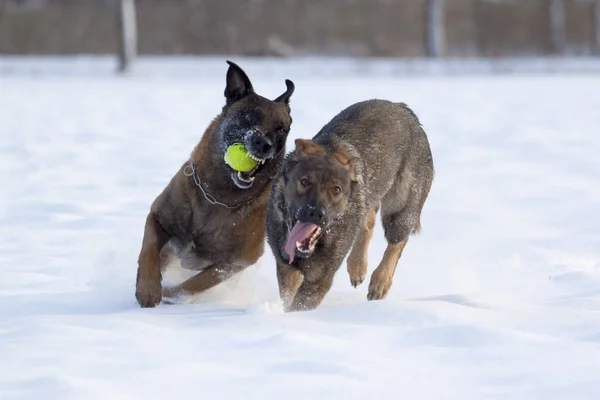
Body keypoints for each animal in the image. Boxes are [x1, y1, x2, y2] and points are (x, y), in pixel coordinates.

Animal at [135, 61, 296, 308]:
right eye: (248, 116)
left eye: (281, 128)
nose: (264, 145)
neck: (219, 196)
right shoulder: (158, 217)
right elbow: (149, 250)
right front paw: (147, 289)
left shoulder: (236, 261)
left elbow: (195, 283)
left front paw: (170, 295)